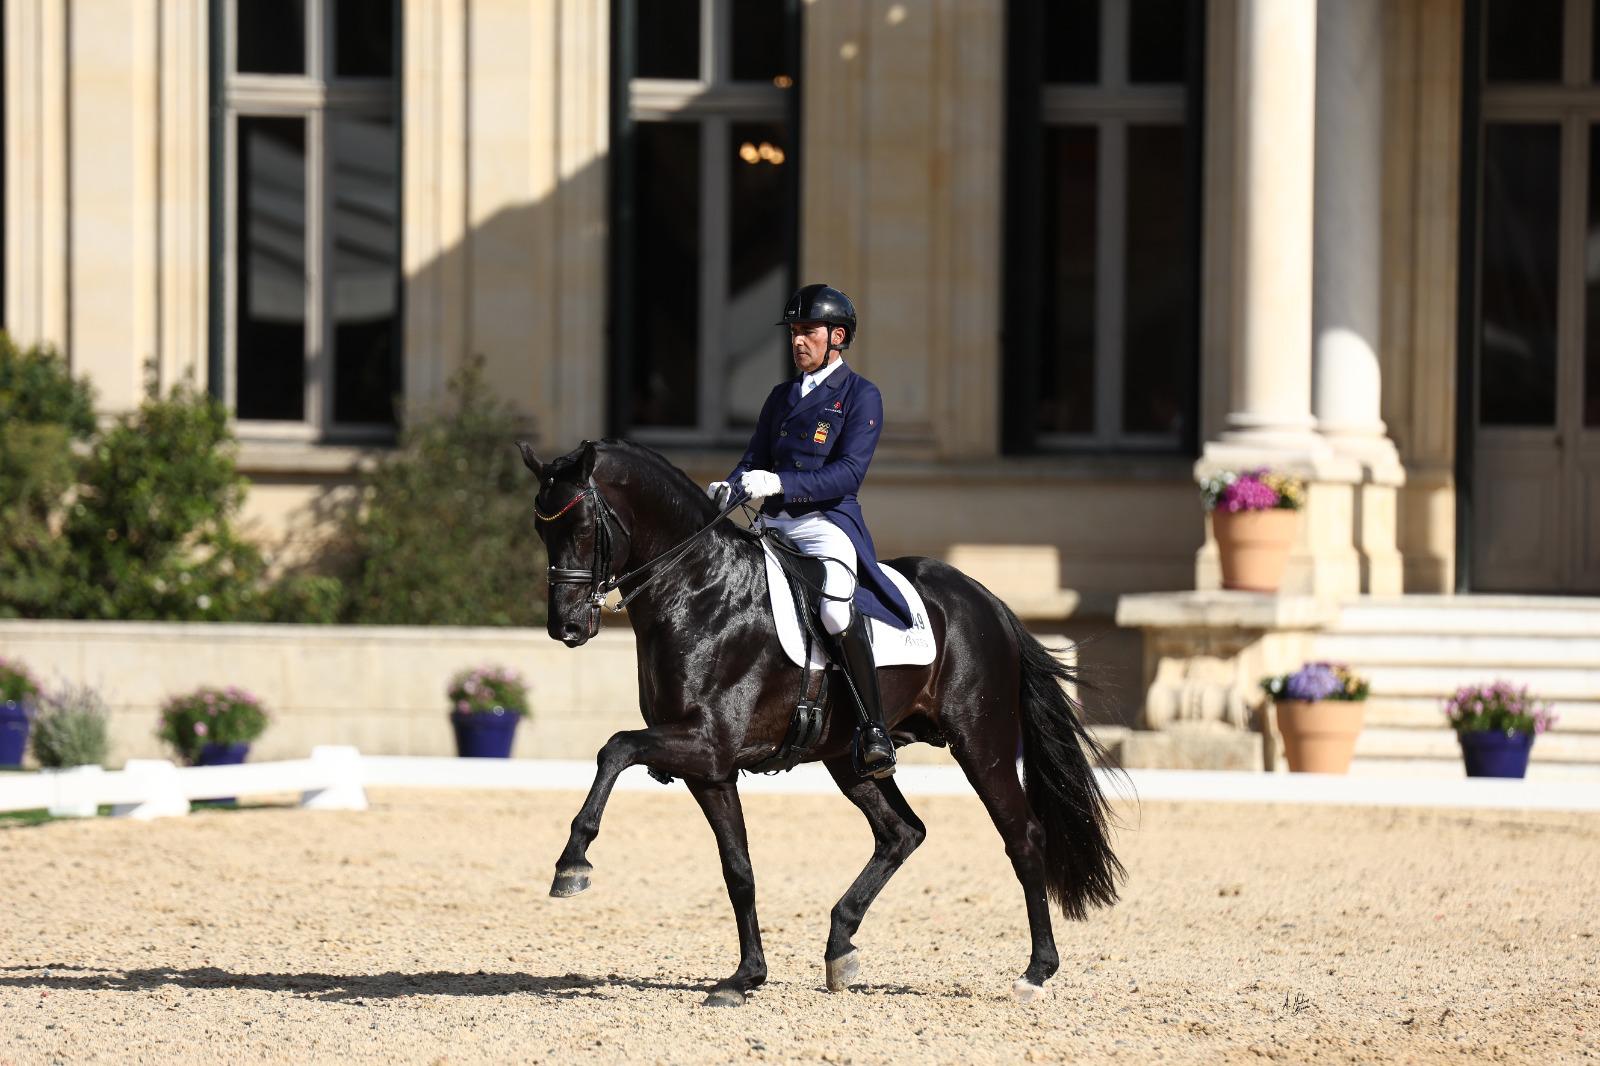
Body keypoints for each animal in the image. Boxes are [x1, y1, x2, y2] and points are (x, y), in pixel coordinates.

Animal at [518, 438, 1120, 1005]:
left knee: (1023, 836)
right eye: (540, 529)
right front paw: (745, 977)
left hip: (981, 742)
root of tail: (987, 601)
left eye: (580, 526)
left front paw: (572, 863)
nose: (565, 628)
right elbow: (738, 869)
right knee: (901, 832)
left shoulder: (707, 744)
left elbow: (614, 747)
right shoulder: (710, 769)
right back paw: (840, 947)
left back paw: (1036, 972)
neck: (699, 590)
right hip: (850, 760)